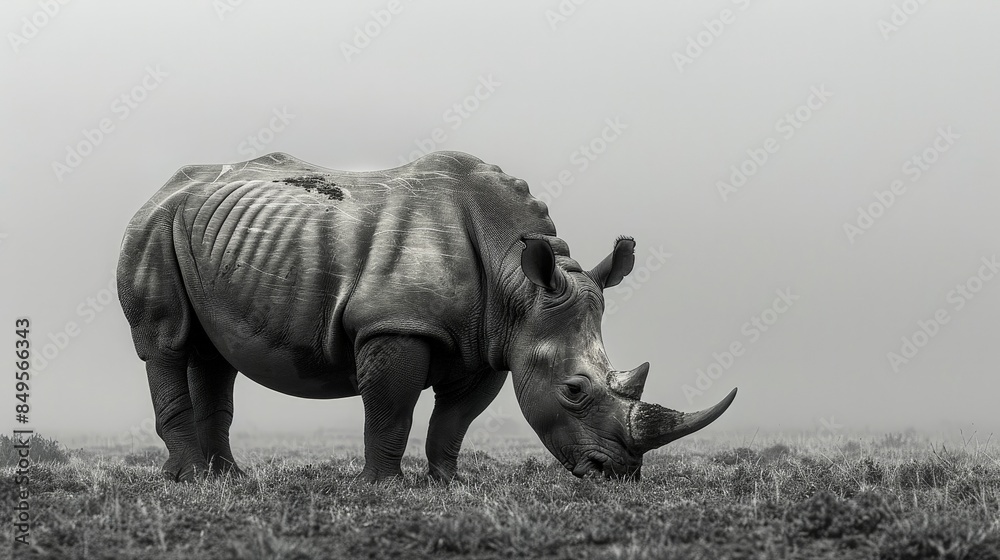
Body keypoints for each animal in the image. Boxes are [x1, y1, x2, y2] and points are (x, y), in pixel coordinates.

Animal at [117, 151, 736, 483]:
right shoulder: (396, 324)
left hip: (201, 233)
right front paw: (384, 488)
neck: (519, 284)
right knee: (166, 343)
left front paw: (447, 483)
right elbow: (391, 409)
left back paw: (225, 478)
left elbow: (454, 419)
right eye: (575, 391)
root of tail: (162, 189)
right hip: (151, 227)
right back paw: (191, 479)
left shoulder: (491, 341)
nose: (620, 474)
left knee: (212, 355)